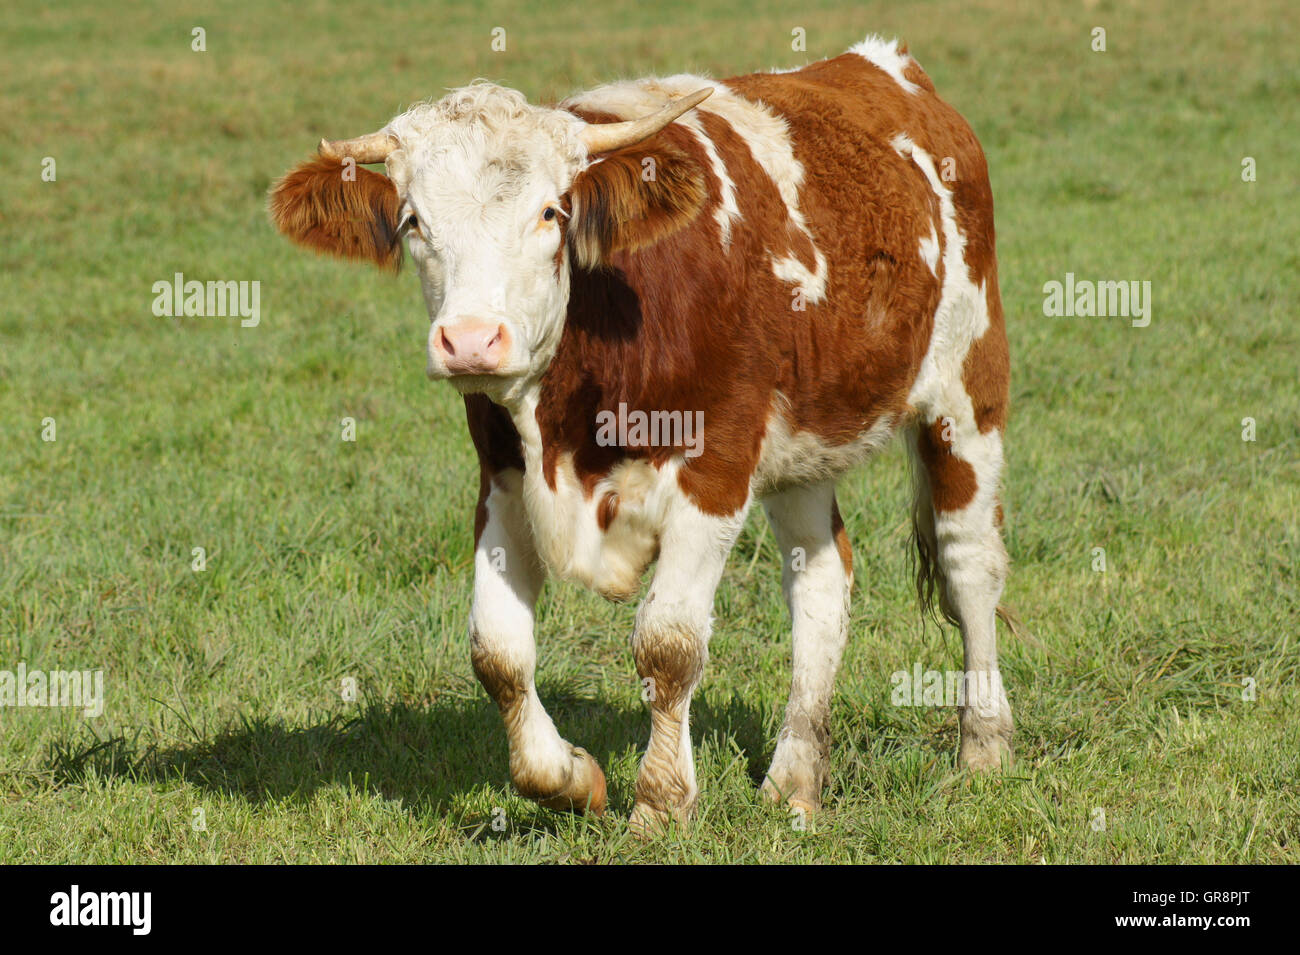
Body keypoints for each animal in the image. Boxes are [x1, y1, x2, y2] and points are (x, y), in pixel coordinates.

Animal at [269, 34, 1014, 832]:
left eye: (552, 212)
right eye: (413, 222)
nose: (469, 341)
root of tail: (885, 66)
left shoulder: (715, 469)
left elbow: (668, 644)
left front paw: (660, 801)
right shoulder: (503, 474)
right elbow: (497, 651)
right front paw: (569, 777)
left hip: (967, 395)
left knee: (969, 561)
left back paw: (982, 750)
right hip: (805, 449)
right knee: (820, 577)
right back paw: (794, 779)